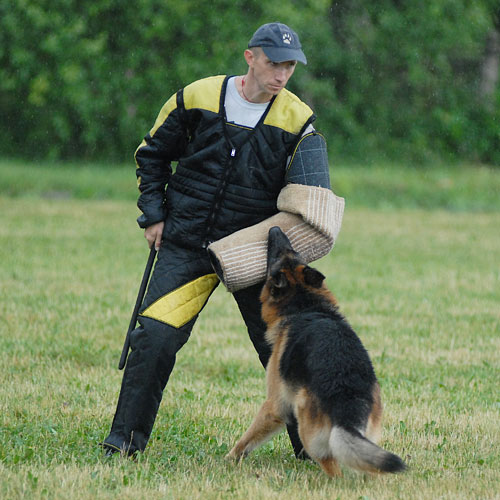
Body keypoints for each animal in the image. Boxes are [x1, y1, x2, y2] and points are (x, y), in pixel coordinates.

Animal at [227, 227, 406, 476]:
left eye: (275, 258)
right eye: (294, 251)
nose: (274, 228)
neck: (304, 304)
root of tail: (347, 405)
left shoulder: (276, 405)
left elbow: (248, 437)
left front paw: (230, 457)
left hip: (307, 425)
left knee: (332, 467)